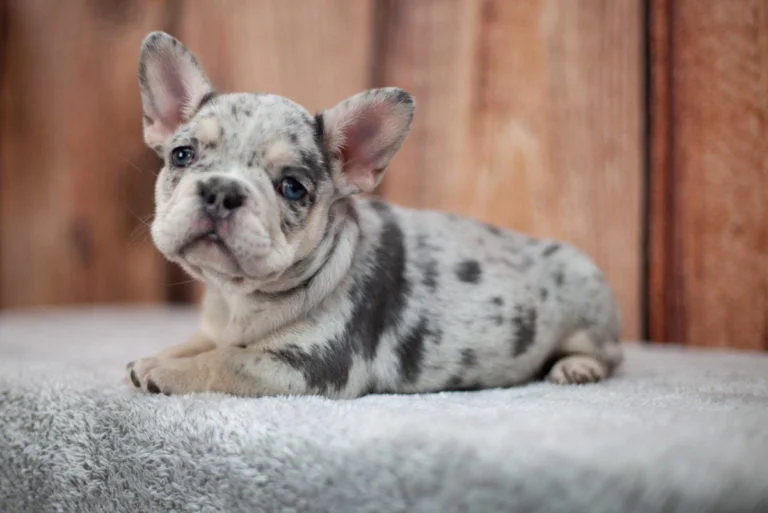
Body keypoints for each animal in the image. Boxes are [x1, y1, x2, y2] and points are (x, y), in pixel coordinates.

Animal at [127, 32, 624, 398]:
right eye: (183, 155)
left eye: (292, 187)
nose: (221, 191)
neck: (239, 299)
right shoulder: (224, 330)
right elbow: (201, 343)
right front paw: (161, 355)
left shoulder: (306, 366)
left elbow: (224, 361)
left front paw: (166, 372)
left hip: (587, 303)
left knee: (607, 354)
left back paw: (576, 367)